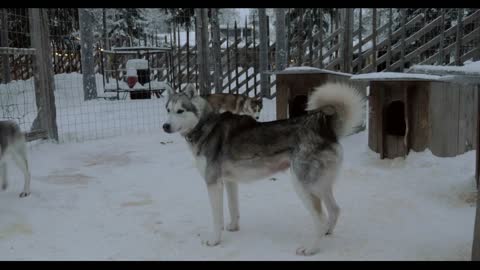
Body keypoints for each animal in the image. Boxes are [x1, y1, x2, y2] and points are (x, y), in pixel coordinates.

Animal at [162, 83, 364, 256]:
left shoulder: (213, 183)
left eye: (180, 111)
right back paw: (328, 232)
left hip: (303, 185)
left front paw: (214, 241)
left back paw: (310, 249)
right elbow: (233, 208)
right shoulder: (229, 181)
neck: (205, 125)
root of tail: (326, 130)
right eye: (168, 110)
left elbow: (216, 217)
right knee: (335, 210)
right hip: (320, 185)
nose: (165, 126)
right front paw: (234, 227)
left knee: (320, 219)